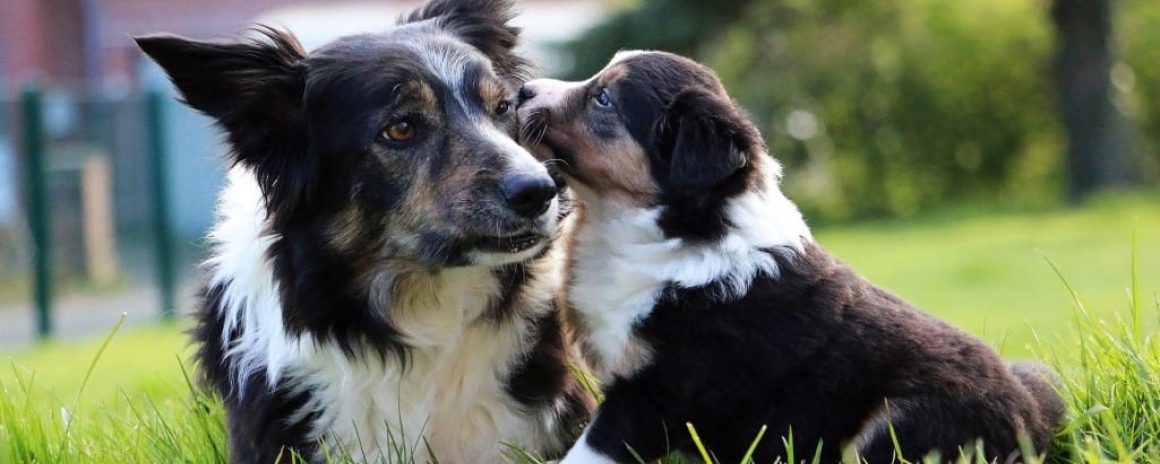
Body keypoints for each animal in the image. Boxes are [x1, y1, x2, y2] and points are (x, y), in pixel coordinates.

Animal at [522, 50, 1062, 464]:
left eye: (603, 98)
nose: (524, 90)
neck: (673, 229)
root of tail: (1034, 421)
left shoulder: (660, 389)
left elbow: (589, 451)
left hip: (903, 419)